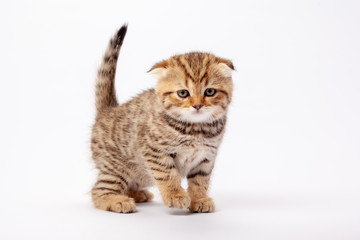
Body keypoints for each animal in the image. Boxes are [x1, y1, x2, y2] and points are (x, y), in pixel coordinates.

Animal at [91, 24, 235, 214]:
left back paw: (136, 194)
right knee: (98, 191)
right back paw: (118, 200)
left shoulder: (206, 157)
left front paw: (199, 199)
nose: (197, 105)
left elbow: (200, 180)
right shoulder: (154, 150)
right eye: (183, 93)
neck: (196, 129)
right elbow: (167, 174)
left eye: (210, 92)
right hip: (116, 167)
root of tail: (109, 110)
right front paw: (176, 195)